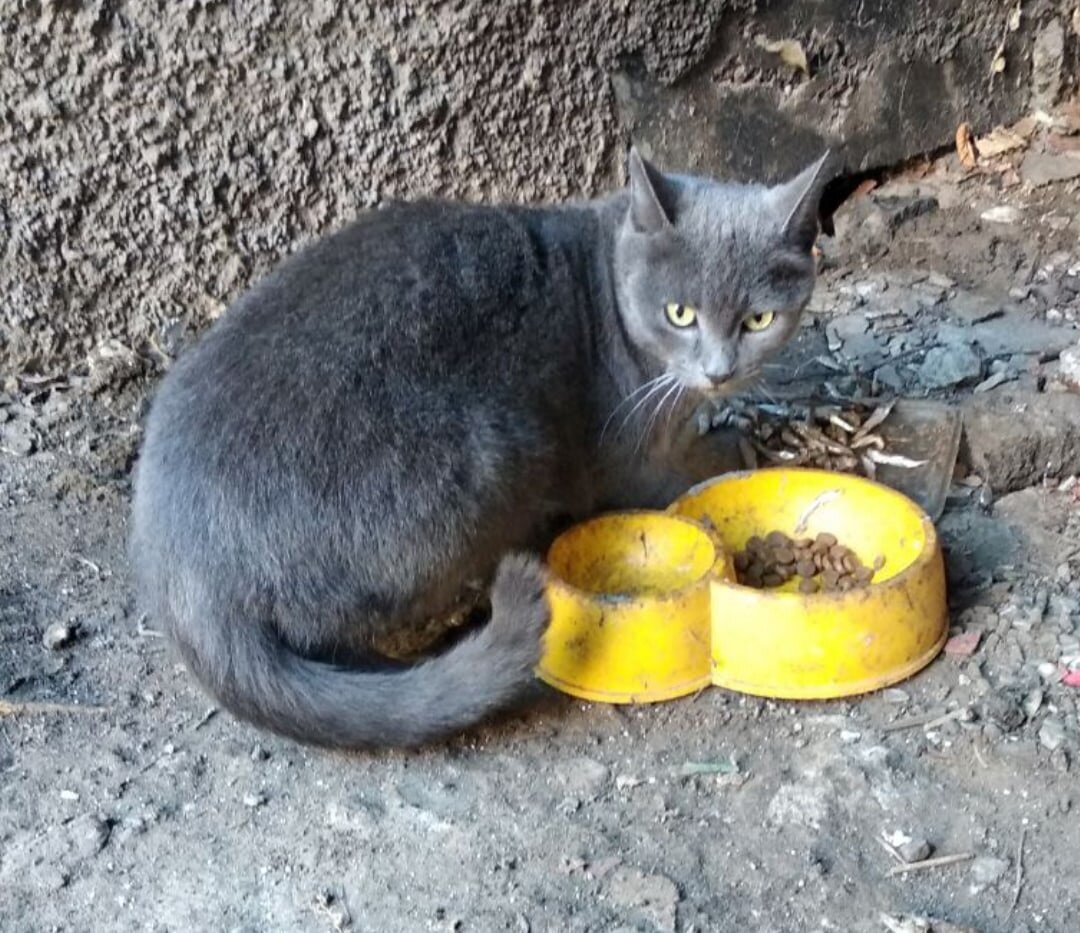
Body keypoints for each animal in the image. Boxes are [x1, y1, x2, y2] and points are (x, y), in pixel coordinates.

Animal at [132, 151, 825, 751]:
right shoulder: (627, 454)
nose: (718, 370)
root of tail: (181, 565)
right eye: (679, 313)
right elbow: (677, 468)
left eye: (759, 320)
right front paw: (737, 442)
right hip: (485, 458)